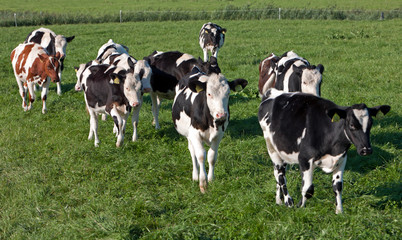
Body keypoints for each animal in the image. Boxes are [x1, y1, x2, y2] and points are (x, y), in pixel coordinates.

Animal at [260, 88, 392, 214]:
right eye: (351, 125)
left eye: (371, 124)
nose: (366, 150)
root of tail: (272, 92)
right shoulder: (304, 159)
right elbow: (308, 189)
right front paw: (300, 207)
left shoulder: (341, 159)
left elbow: (338, 187)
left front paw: (339, 211)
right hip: (271, 148)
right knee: (281, 175)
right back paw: (288, 201)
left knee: (277, 173)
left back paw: (279, 201)